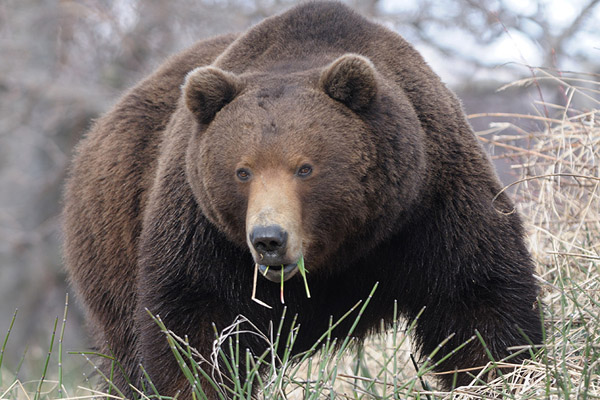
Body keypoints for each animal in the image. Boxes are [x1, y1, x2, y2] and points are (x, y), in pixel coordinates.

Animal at [63, 1, 540, 398]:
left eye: (305, 168)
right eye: (243, 170)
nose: (269, 239)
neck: (337, 253)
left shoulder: (431, 205)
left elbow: (477, 305)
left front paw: (501, 376)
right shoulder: (203, 232)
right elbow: (193, 329)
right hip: (113, 243)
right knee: (124, 348)